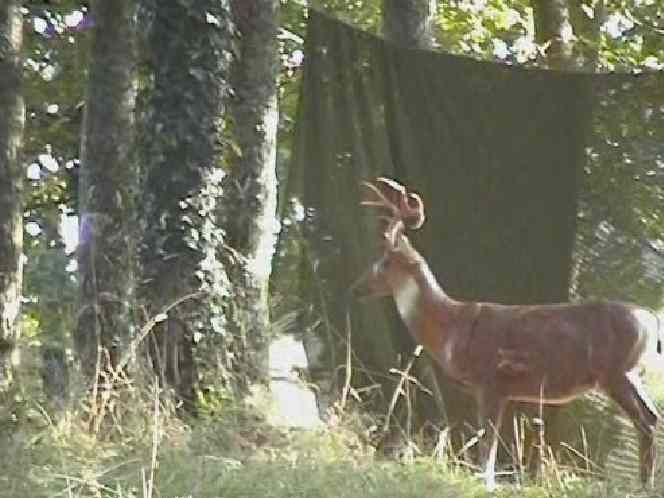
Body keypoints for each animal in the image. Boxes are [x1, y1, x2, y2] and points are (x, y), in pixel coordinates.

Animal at [355, 177, 661, 491]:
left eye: (383, 262)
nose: (357, 288)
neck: (452, 329)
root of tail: (651, 320)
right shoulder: (500, 390)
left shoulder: (490, 381)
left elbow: (487, 445)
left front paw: (486, 485)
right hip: (628, 373)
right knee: (651, 416)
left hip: (615, 372)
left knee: (645, 421)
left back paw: (643, 486)